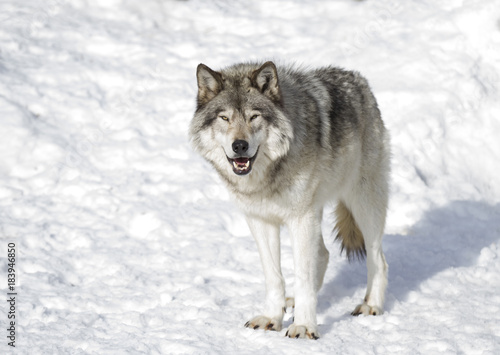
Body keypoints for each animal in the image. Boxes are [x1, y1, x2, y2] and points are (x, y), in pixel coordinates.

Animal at [189, 62, 388, 340]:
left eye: (254, 117)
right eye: (225, 118)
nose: (239, 146)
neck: (266, 177)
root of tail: (358, 80)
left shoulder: (300, 219)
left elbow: (302, 277)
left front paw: (304, 326)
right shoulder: (260, 221)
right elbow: (274, 276)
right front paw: (272, 318)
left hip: (363, 205)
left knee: (378, 258)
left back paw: (371, 305)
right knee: (324, 254)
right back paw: (292, 302)